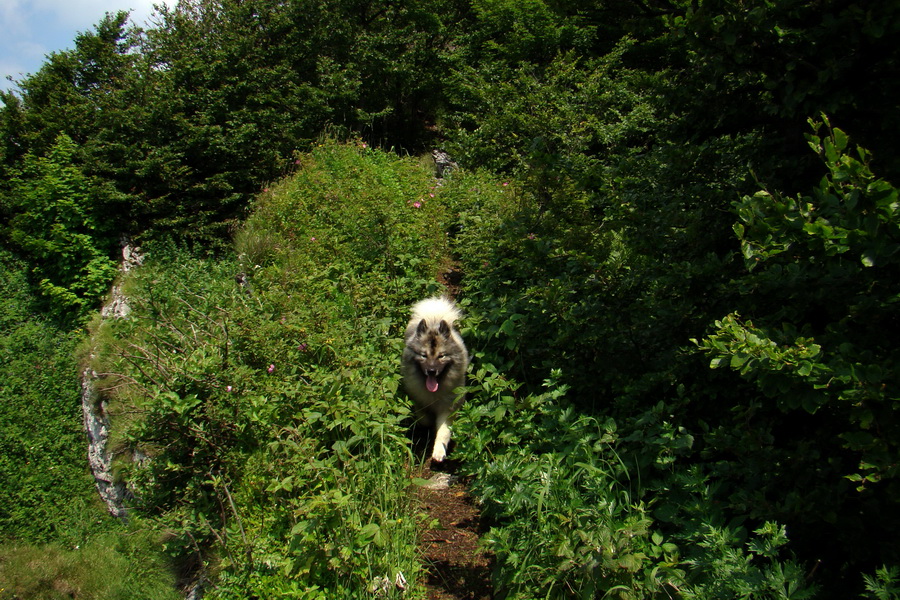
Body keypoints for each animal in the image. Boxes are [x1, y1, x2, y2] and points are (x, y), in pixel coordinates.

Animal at [402, 298, 472, 462]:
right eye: (423, 355)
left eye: (441, 356)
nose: (432, 371)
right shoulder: (418, 399)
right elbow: (424, 418)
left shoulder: (448, 407)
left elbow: (443, 431)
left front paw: (439, 452)